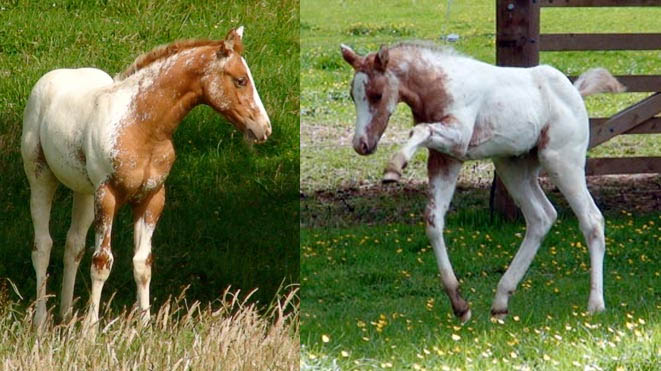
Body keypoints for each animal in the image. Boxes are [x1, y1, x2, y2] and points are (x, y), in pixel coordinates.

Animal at [22, 27, 270, 332]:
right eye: (240, 80)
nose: (263, 128)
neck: (142, 126)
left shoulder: (152, 198)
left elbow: (142, 263)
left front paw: (144, 326)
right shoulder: (107, 195)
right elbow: (102, 261)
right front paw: (90, 331)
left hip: (84, 191)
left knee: (73, 245)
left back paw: (66, 316)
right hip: (41, 176)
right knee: (42, 246)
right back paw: (41, 321)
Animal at [340, 41, 624, 322]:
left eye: (377, 94)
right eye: (353, 95)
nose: (361, 145)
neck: (440, 83)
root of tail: (575, 92)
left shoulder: (457, 138)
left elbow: (419, 130)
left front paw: (394, 168)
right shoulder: (445, 158)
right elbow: (433, 221)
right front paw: (460, 306)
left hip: (562, 160)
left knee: (591, 219)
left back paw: (595, 304)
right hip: (513, 166)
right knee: (541, 217)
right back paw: (500, 302)